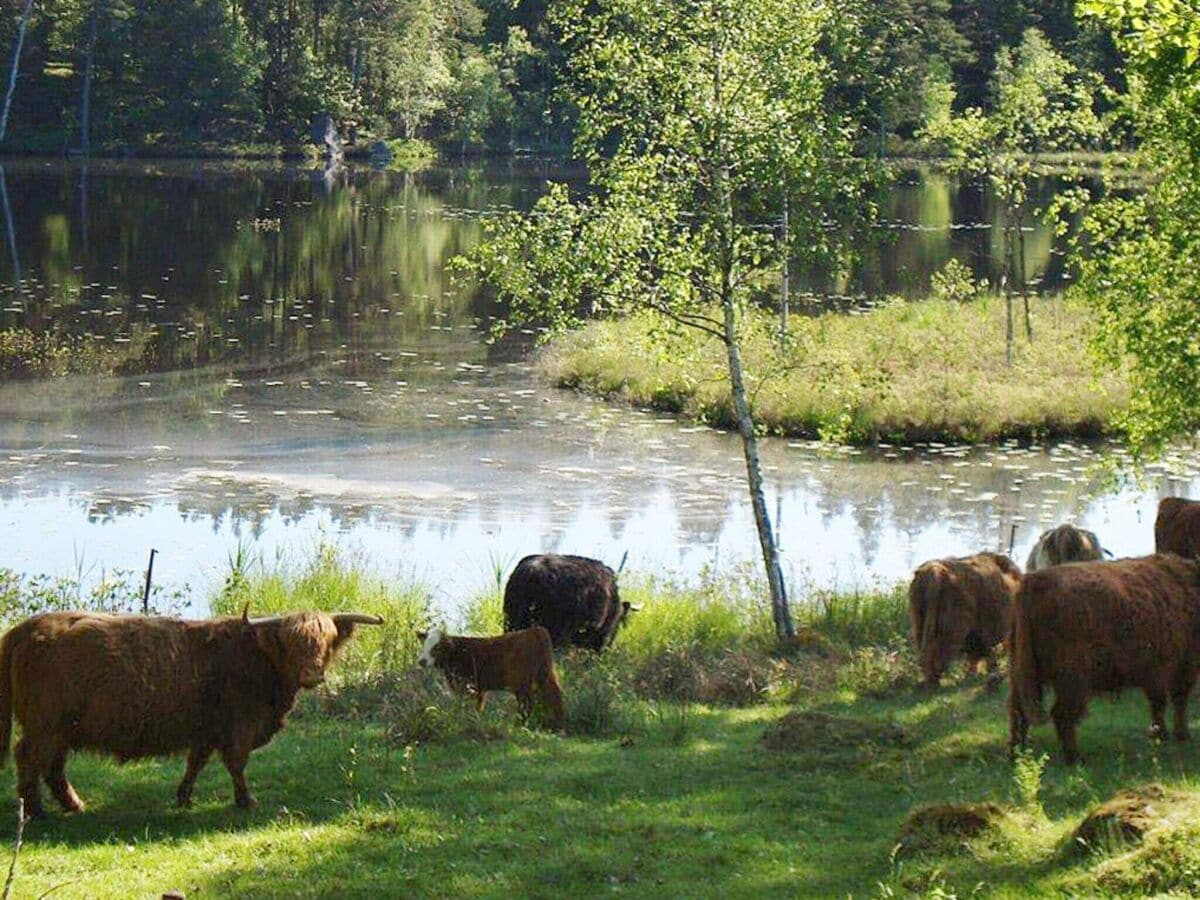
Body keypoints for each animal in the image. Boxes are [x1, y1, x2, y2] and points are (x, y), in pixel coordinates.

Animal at [0, 609, 381, 816]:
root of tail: (27, 627)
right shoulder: (239, 726)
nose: (312, 674)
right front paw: (247, 800)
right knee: (28, 757)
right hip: (46, 724)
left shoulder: (209, 728)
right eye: (291, 642)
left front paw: (183, 796)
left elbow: (196, 762)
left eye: (326, 641)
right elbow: (236, 764)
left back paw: (73, 805)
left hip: (63, 728)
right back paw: (36, 811)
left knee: (52, 765)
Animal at [417, 628, 566, 734]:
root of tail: (535, 630)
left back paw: (520, 726)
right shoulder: (477, 689)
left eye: (437, 648)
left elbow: (467, 706)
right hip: (545, 675)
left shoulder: (466, 686)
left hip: (522, 682)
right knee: (555, 696)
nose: (421, 661)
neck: (457, 654)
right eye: (423, 645)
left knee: (526, 703)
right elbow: (477, 707)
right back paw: (559, 727)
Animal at [907, 549, 1022, 691]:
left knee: (924, 651)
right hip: (952, 627)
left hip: (919, 621)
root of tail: (933, 571)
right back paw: (932, 683)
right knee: (936, 653)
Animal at [1008, 554, 1200, 763]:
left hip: (1021, 672)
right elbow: (1176, 698)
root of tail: (1034, 582)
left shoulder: (1156, 671)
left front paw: (1160, 734)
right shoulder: (1182, 663)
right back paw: (1074, 758)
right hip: (1073, 678)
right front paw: (1181, 735)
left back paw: (1017, 754)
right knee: (1061, 713)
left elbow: (1159, 701)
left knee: (1018, 711)